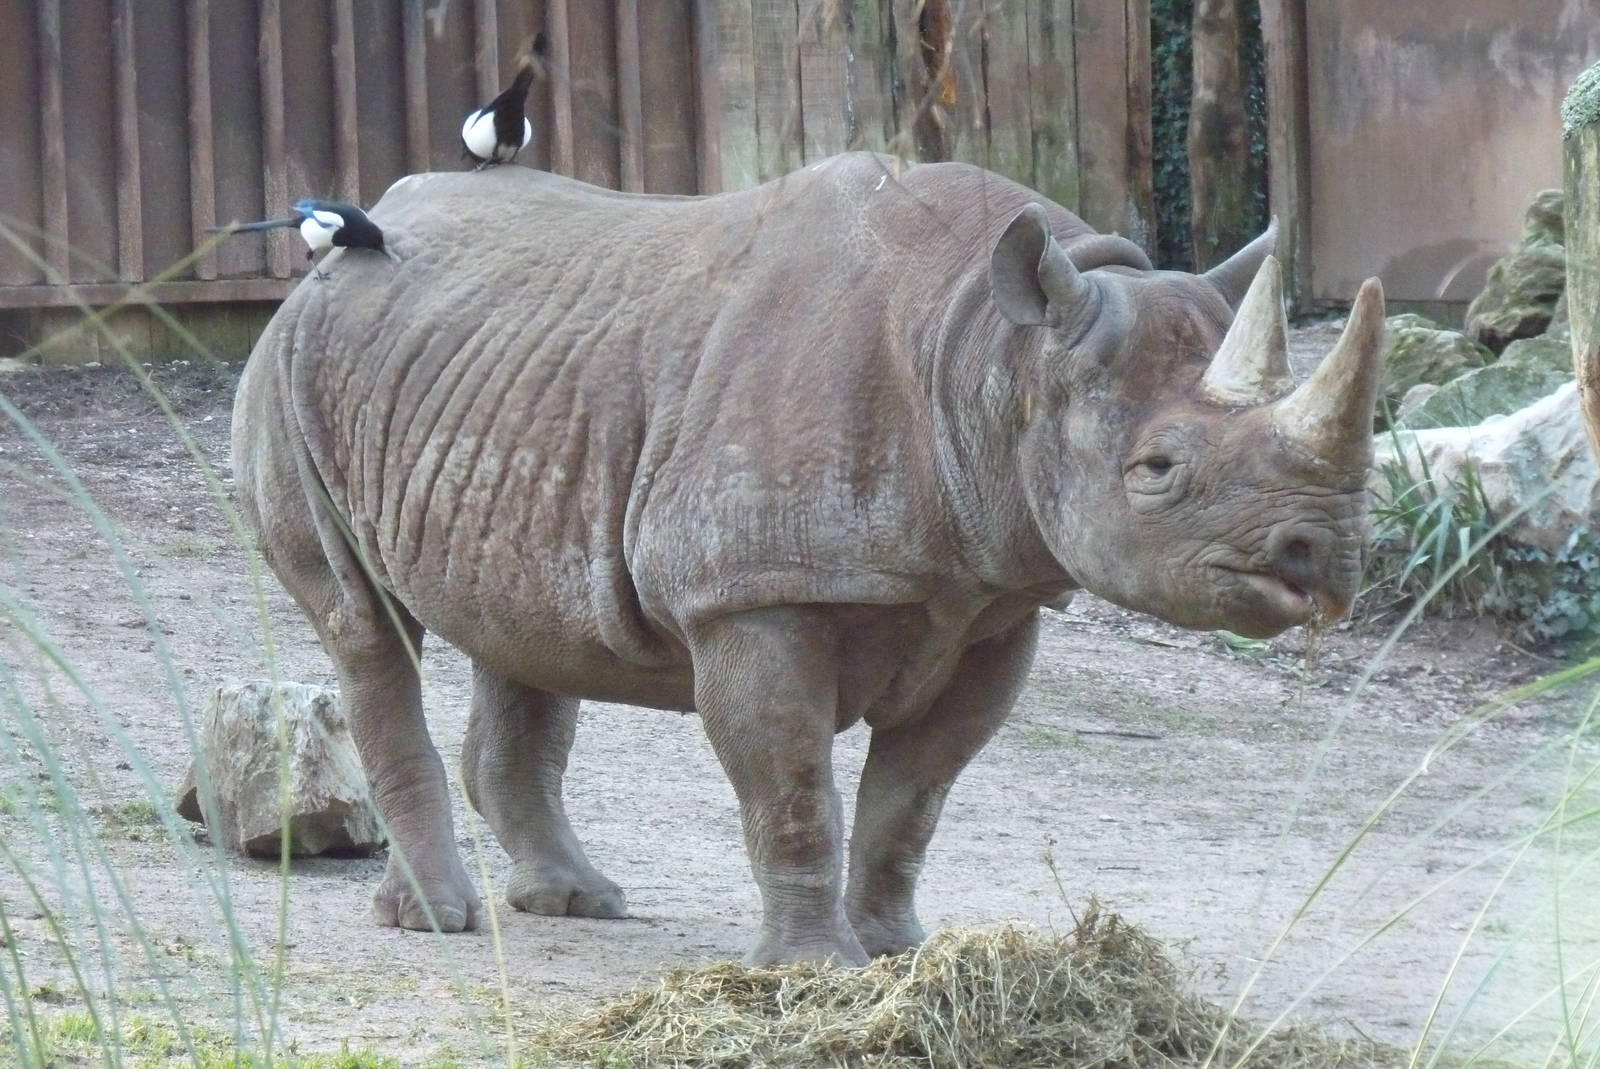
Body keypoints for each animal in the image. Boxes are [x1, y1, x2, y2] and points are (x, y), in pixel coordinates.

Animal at [233, 152, 1383, 966]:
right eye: (1156, 469)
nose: (1322, 554)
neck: (991, 354)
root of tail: (328, 260)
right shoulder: (754, 595)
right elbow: (792, 792)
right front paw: (810, 970)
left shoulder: (994, 594)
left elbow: (914, 797)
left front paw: (898, 951)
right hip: (291, 368)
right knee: (366, 627)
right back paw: (439, 920)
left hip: (507, 375)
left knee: (522, 625)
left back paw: (578, 900)